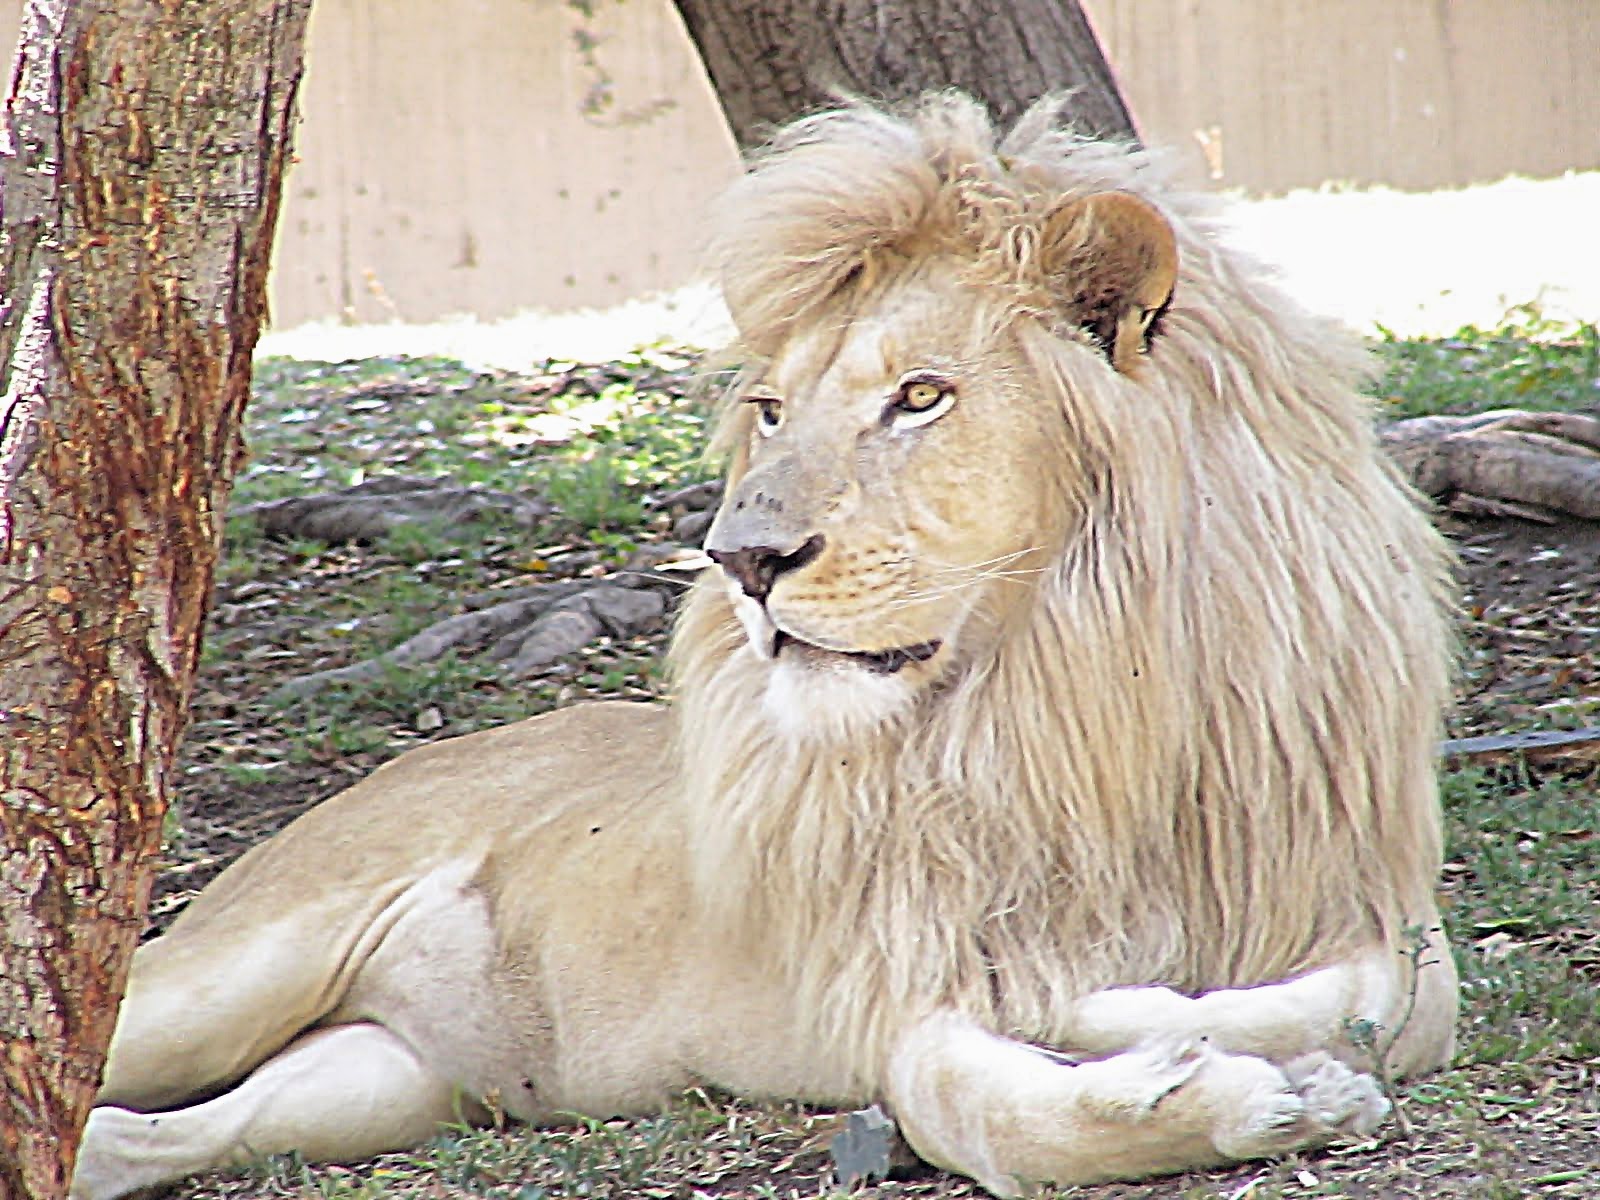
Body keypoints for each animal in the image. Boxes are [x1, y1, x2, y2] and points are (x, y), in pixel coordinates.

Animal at [72, 96, 1465, 1200]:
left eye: (920, 397)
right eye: (774, 411)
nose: (740, 560)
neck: (1066, 701)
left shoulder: (1371, 894)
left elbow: (1393, 997)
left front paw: (1268, 1055)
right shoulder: (893, 974)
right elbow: (981, 1093)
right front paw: (1199, 1074)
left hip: (385, 1079)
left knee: (132, 1139)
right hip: (227, 971)